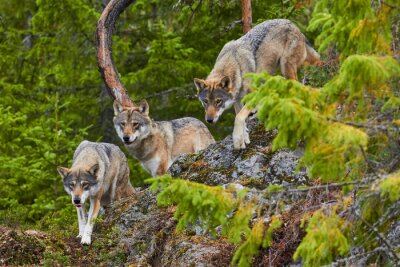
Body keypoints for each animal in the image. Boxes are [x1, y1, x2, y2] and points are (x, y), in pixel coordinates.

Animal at [192, 19, 320, 151]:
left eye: (218, 101)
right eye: (205, 101)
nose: (209, 120)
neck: (235, 65)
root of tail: (291, 23)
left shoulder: (253, 94)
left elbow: (238, 118)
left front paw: (237, 139)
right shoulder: (237, 100)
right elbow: (240, 118)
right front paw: (244, 139)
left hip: (286, 68)